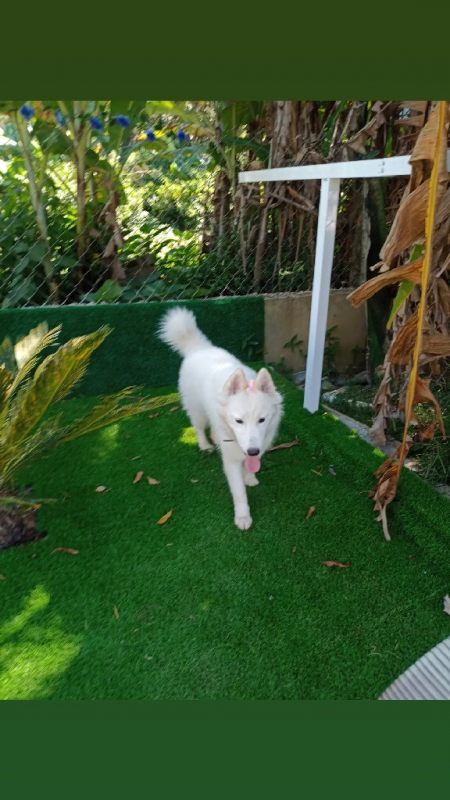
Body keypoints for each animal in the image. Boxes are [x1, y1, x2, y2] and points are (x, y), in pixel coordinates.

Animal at [159, 310, 282, 528]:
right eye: (239, 421)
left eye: (262, 420)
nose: (252, 450)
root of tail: (198, 348)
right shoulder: (231, 461)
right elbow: (239, 493)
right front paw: (243, 517)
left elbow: (250, 465)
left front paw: (249, 476)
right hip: (197, 411)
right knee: (199, 427)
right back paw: (205, 445)